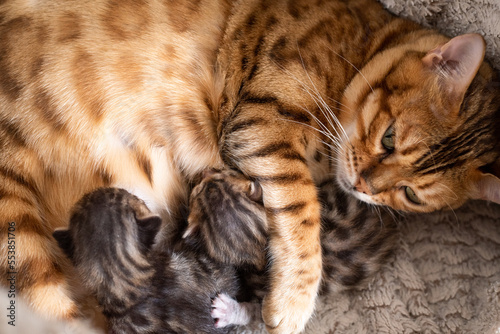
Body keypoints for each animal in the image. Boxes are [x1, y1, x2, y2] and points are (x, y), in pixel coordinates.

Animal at [0, 0, 500, 332]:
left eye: (412, 193)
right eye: (389, 137)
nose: (363, 185)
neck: (360, 49)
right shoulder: (259, 122)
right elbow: (301, 212)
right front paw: (294, 301)